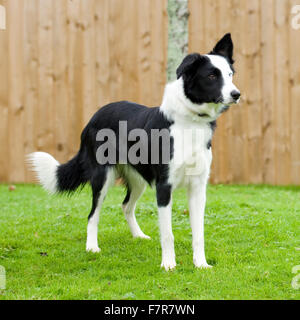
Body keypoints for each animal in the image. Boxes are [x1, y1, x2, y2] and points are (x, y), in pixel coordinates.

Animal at [28, 34, 240, 270]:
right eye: (212, 76)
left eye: (230, 74)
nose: (236, 94)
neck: (190, 121)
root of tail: (94, 117)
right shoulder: (164, 186)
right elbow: (167, 234)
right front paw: (168, 265)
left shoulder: (198, 187)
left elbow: (199, 233)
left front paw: (201, 264)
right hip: (102, 178)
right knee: (93, 214)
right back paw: (92, 247)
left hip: (138, 180)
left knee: (126, 206)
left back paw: (138, 235)